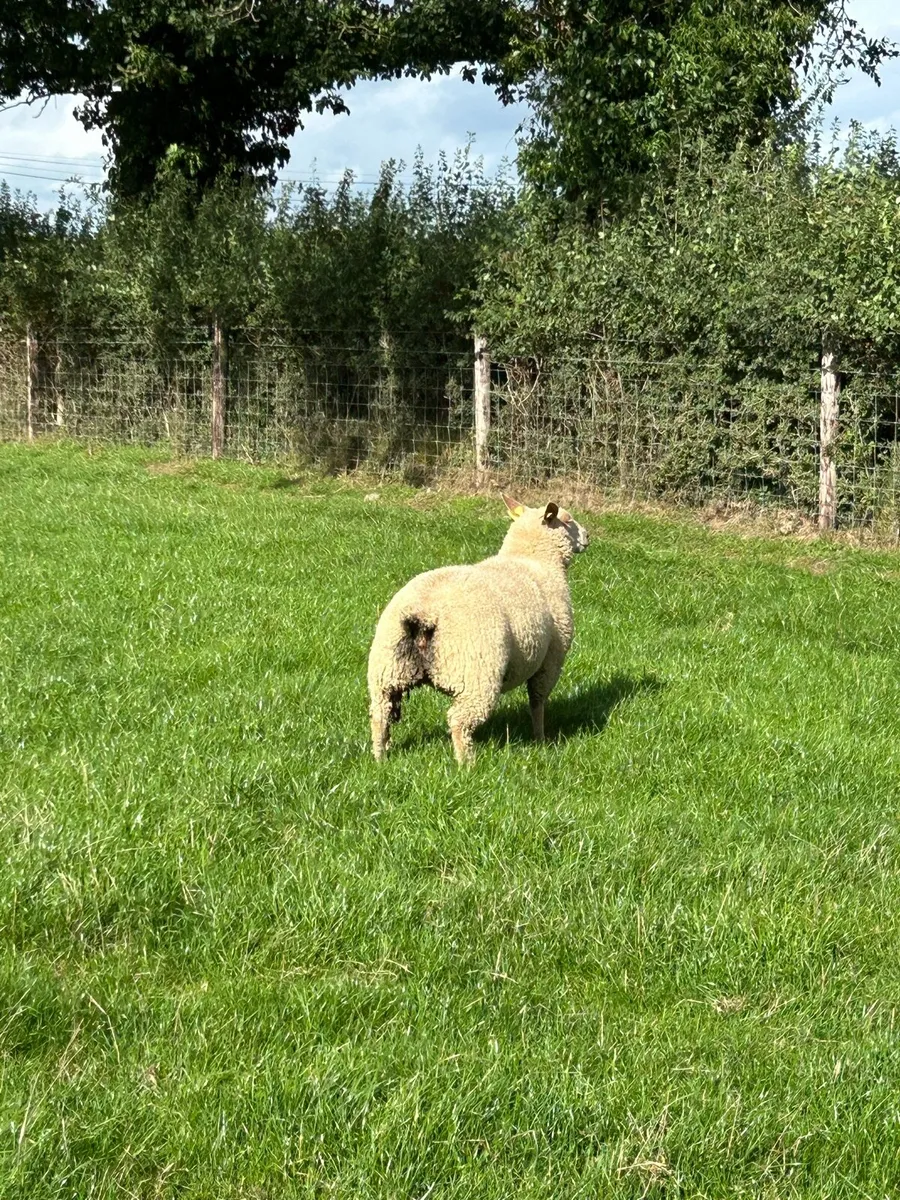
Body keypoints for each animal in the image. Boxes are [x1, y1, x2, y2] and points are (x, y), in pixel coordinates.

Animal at [367, 494, 590, 764]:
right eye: (567, 520)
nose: (588, 536)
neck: (533, 560)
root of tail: (423, 613)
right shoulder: (551, 659)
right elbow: (537, 702)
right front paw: (541, 739)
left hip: (386, 668)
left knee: (381, 714)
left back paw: (380, 758)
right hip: (476, 674)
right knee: (459, 721)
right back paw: (467, 764)